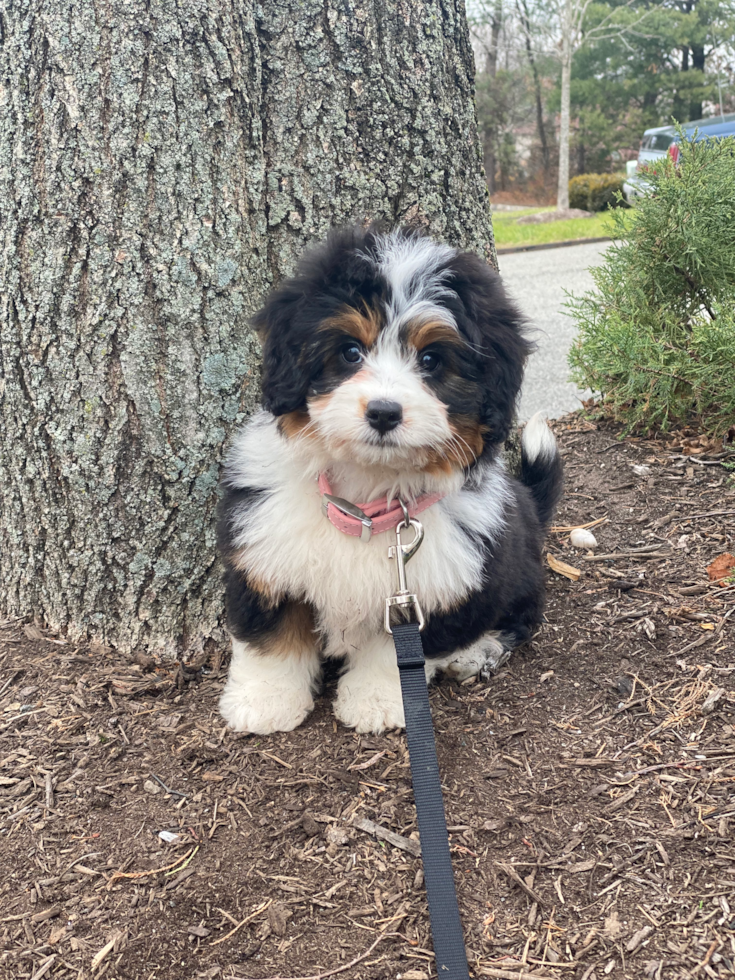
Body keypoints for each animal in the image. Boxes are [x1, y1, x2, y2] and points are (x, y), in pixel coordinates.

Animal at [217, 226, 564, 732]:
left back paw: (477, 651)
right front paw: (265, 699)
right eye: (350, 351)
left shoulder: (436, 584)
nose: (383, 412)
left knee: (518, 619)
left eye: (431, 360)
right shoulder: (264, 552)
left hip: (512, 573)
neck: (364, 503)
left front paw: (377, 701)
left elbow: (395, 653)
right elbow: (272, 630)